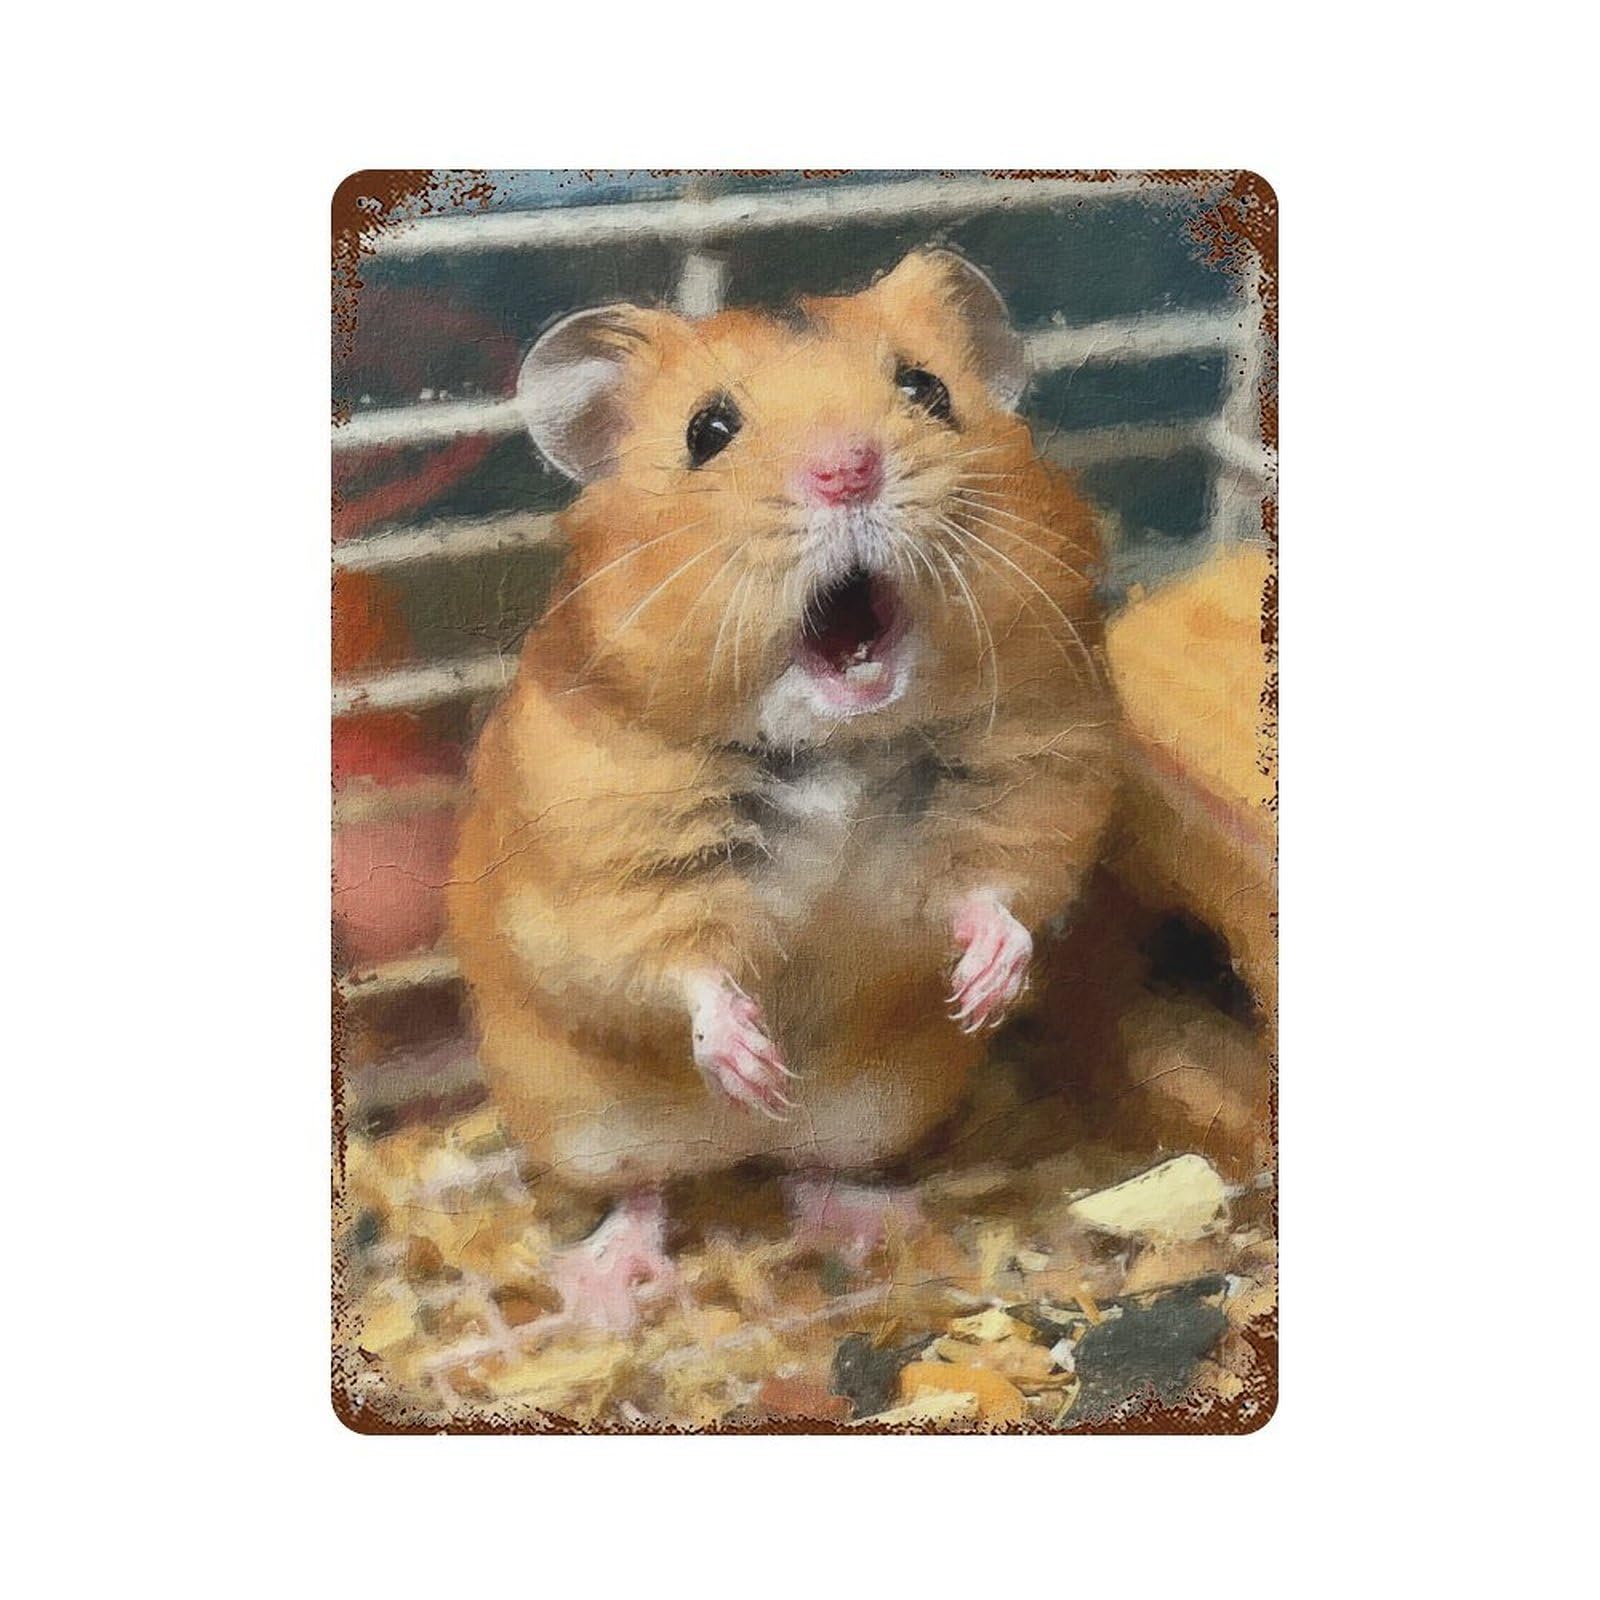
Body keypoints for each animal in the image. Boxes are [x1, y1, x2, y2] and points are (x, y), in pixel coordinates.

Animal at [447, 249, 1118, 1327]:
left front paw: (984, 992)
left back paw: (863, 1207)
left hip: (873, 1110)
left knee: (806, 1170)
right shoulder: (610, 865)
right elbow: (680, 964)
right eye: (707, 432)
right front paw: (751, 1060)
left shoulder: (1036, 777)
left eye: (926, 390)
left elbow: (996, 891)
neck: (841, 745)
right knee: (648, 1190)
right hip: (582, 1121)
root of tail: (734, 1154)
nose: (848, 470)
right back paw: (615, 1276)